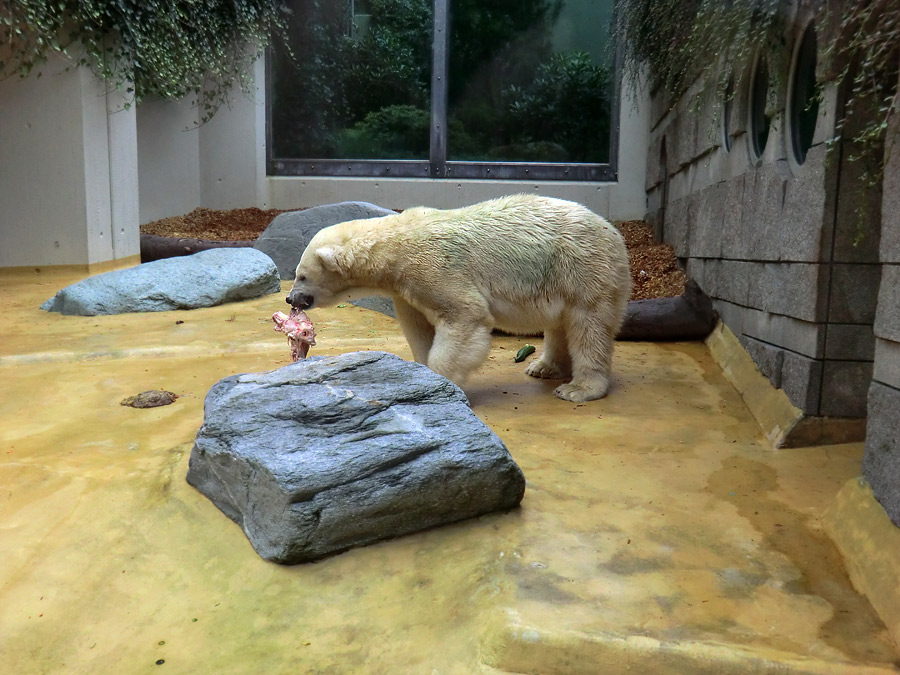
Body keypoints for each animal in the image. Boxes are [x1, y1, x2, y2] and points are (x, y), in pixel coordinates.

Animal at [284, 195, 628, 402]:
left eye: (301, 275)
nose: (290, 299)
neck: (397, 245)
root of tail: (615, 234)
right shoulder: (406, 289)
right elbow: (420, 329)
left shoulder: (435, 267)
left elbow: (465, 316)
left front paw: (441, 383)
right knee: (558, 323)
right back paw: (543, 367)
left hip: (581, 268)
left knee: (588, 327)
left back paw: (578, 388)